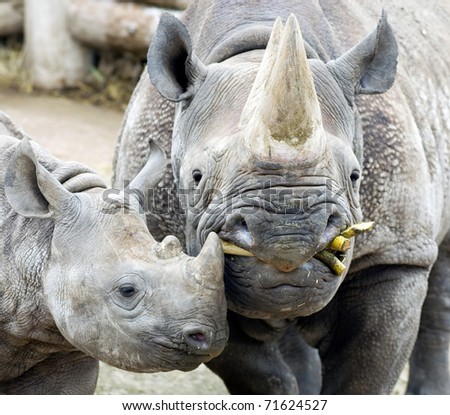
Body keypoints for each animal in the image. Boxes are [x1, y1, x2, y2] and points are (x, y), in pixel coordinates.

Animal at [113, 0, 450, 394]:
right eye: (196, 177)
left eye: (355, 176)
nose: (288, 237)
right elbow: (255, 371)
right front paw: (288, 391)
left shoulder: (393, 254)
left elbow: (363, 376)